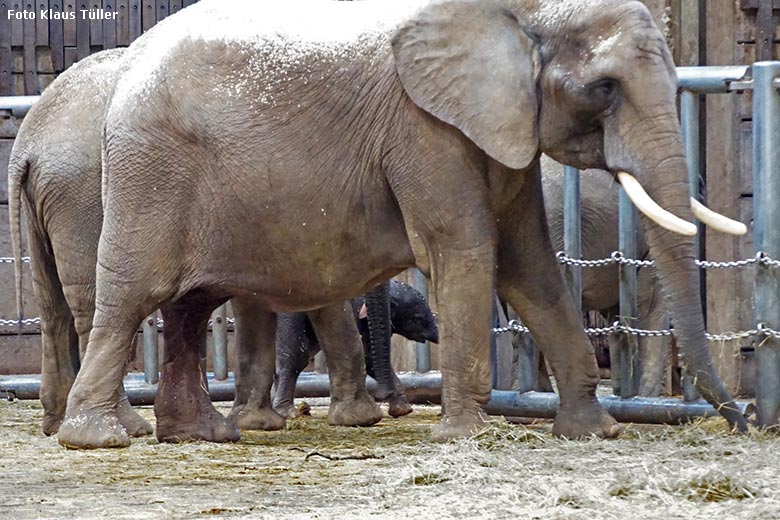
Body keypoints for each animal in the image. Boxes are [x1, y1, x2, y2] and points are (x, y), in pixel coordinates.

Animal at [274, 278, 438, 420]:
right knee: (296, 357)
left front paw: (402, 410)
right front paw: (402, 409)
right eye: (417, 318)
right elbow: (369, 358)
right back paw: (289, 413)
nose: (380, 395)